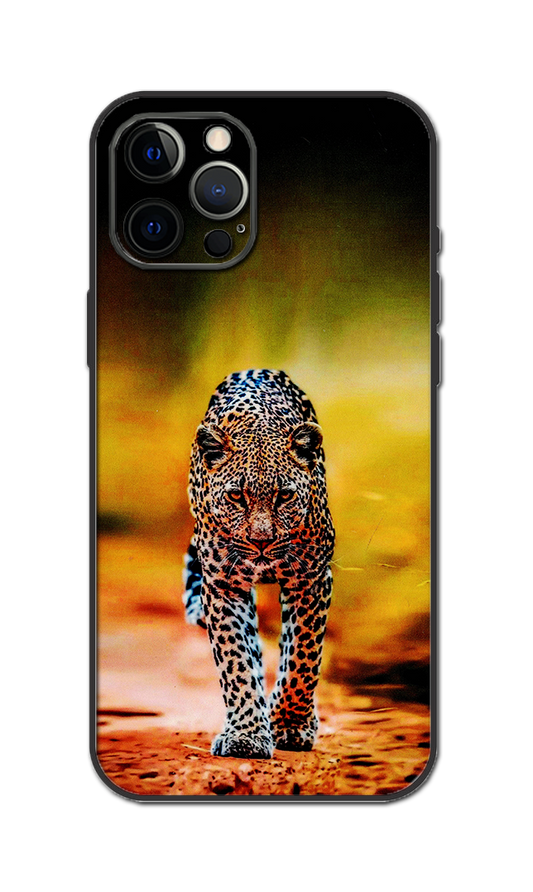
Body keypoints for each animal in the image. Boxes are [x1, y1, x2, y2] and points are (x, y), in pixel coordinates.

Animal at [183, 369, 335, 759]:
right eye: (237, 496)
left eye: (284, 496)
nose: (261, 541)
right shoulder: (222, 586)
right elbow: (236, 660)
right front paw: (246, 735)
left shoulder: (311, 580)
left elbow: (302, 658)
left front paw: (291, 725)